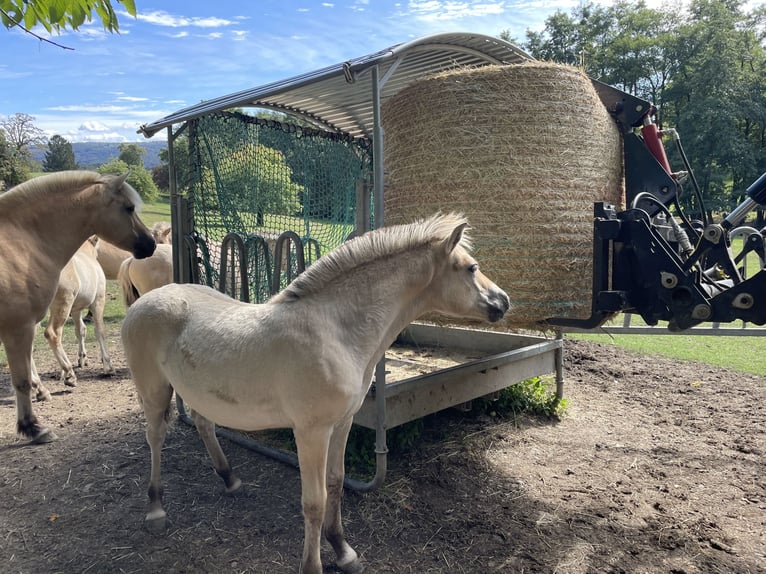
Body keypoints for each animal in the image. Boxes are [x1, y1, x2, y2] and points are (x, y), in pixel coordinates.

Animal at [44, 236, 114, 386]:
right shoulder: (98, 302)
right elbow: (100, 331)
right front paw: (108, 366)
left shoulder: (75, 310)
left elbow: (80, 330)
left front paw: (82, 358)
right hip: (63, 305)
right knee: (53, 333)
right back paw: (69, 374)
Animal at [121, 212, 510, 574]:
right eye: (471, 267)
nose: (504, 301)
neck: (334, 331)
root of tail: (147, 300)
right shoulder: (311, 432)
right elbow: (315, 501)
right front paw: (314, 564)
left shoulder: (343, 423)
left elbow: (336, 484)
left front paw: (343, 550)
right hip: (153, 389)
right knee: (156, 436)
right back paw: (155, 509)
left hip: (200, 391)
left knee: (203, 423)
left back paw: (229, 479)